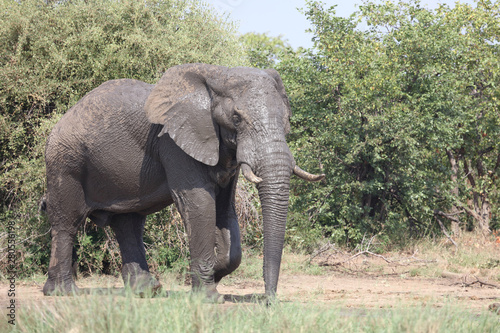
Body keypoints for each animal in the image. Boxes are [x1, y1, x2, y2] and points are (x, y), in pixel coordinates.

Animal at [43, 63, 324, 300]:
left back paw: (148, 290)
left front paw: (213, 275)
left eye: (287, 120)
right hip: (65, 161)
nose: (269, 301)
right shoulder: (173, 142)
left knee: (128, 223)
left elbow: (225, 211)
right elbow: (199, 202)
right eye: (236, 119)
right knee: (68, 222)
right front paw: (208, 296)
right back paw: (62, 292)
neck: (216, 75)